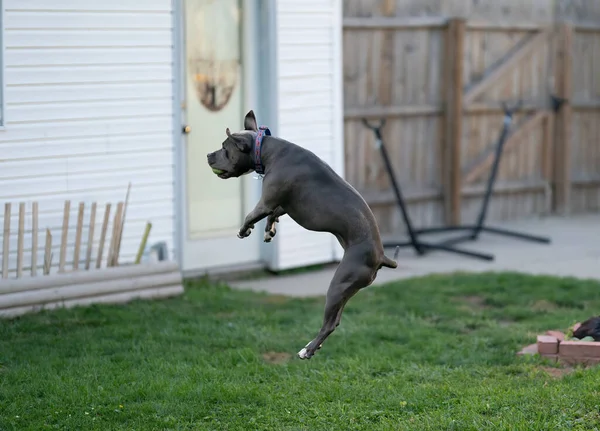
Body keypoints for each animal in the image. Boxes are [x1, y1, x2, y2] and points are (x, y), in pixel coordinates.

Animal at [206, 109, 398, 360]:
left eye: (224, 147)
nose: (208, 155)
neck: (266, 150)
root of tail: (381, 256)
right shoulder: (285, 205)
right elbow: (274, 214)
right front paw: (269, 230)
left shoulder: (267, 201)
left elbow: (252, 214)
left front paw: (244, 230)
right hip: (347, 290)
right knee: (336, 320)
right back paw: (312, 347)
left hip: (339, 285)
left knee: (330, 323)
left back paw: (307, 350)